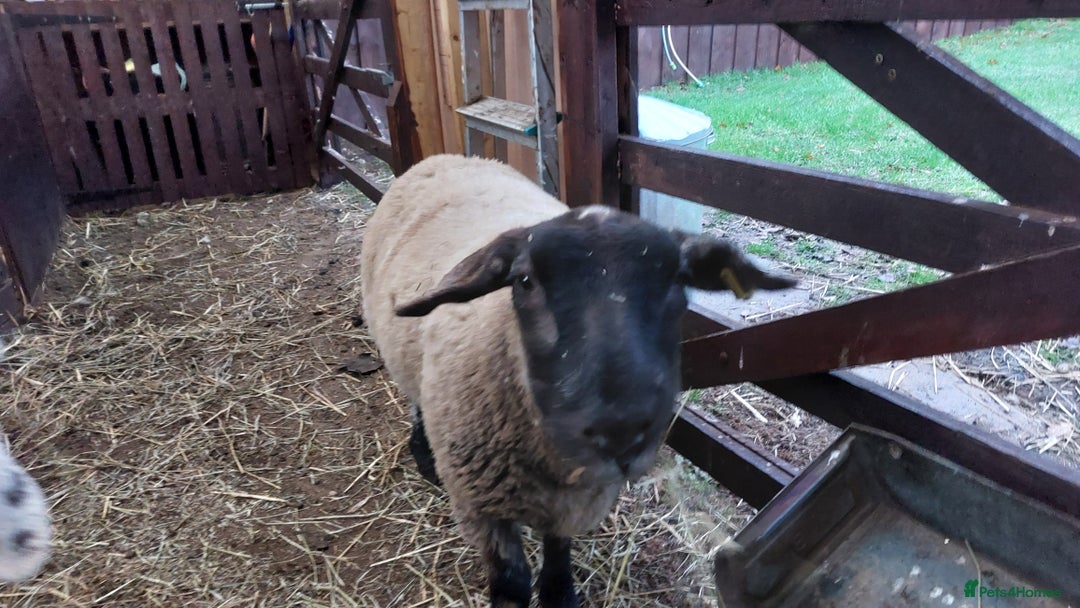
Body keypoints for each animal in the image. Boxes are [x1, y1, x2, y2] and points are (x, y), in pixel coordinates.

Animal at [359, 154, 794, 607]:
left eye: (679, 279)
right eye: (524, 280)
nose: (621, 434)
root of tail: (451, 157)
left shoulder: (574, 501)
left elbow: (558, 548)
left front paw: (560, 593)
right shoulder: (480, 508)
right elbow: (511, 581)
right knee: (415, 400)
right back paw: (423, 455)